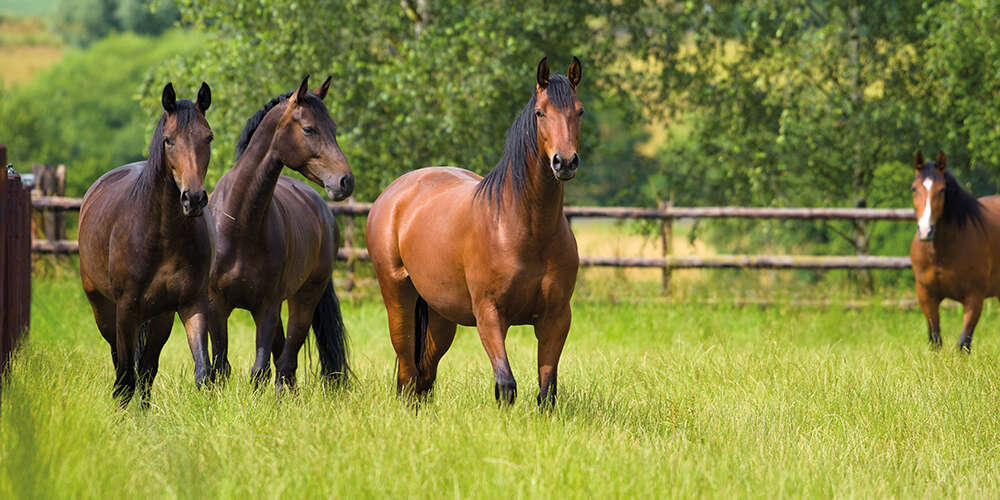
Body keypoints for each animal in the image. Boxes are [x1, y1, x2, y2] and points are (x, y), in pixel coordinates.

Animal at [79, 82, 215, 407]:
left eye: (208, 137)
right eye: (169, 140)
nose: (194, 198)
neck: (163, 236)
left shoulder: (192, 304)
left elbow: (201, 371)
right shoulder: (126, 311)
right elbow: (125, 376)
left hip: (160, 318)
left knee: (147, 369)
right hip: (103, 309)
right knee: (121, 365)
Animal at [206, 75, 353, 392]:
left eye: (334, 128)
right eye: (309, 128)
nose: (345, 181)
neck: (240, 225)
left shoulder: (267, 307)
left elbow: (260, 371)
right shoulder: (216, 305)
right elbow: (220, 368)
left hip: (304, 300)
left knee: (287, 362)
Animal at [366, 57, 584, 406]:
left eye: (579, 111)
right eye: (540, 113)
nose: (564, 162)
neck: (524, 229)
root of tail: (395, 193)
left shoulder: (556, 318)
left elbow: (546, 391)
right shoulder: (489, 315)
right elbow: (506, 385)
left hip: (441, 315)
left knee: (425, 373)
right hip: (397, 297)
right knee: (408, 371)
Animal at [910, 151, 1000, 352]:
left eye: (942, 190)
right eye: (914, 189)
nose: (926, 231)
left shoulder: (974, 298)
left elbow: (963, 343)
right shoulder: (926, 296)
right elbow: (935, 340)